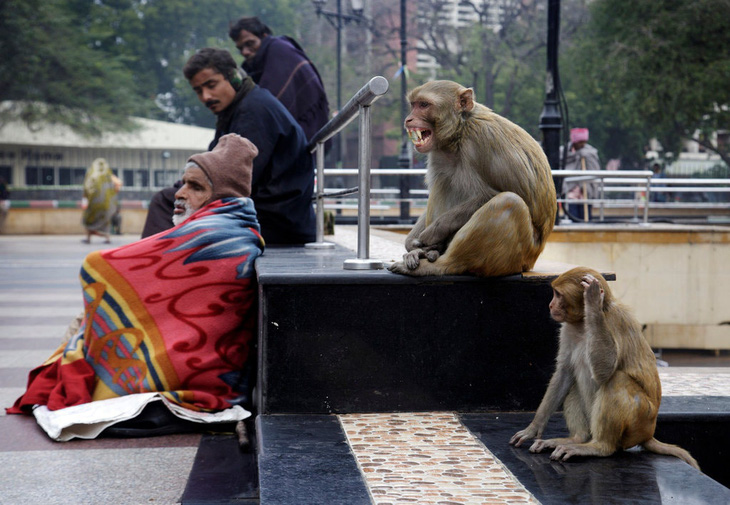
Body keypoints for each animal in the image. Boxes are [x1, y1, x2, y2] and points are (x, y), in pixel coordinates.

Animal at [390, 80, 556, 276]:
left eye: (423, 105)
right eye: (413, 105)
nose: (408, 119)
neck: (460, 131)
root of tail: (533, 259)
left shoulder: (483, 138)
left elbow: (495, 194)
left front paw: (435, 231)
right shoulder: (439, 153)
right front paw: (412, 242)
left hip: (520, 254)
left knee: (509, 202)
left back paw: (441, 264)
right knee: (444, 179)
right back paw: (430, 252)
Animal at [510, 268, 696, 468]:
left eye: (558, 294)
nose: (551, 305)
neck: (583, 323)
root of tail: (648, 434)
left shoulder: (614, 321)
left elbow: (605, 370)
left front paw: (592, 301)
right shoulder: (567, 328)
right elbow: (564, 373)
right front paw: (533, 428)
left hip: (640, 421)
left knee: (617, 380)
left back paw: (599, 446)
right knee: (574, 384)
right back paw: (577, 438)